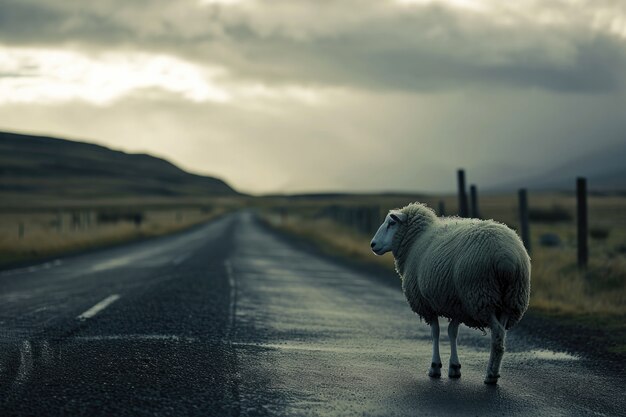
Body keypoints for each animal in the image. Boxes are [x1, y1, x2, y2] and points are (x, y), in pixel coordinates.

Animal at [368, 202, 528, 384]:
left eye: (391, 223)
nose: (372, 245)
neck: (415, 241)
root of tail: (506, 259)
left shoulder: (427, 304)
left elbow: (435, 333)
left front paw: (435, 367)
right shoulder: (457, 303)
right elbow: (452, 332)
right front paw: (454, 367)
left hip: (481, 297)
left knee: (498, 335)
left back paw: (491, 375)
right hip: (511, 300)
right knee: (502, 333)